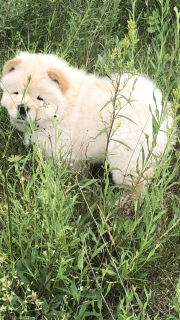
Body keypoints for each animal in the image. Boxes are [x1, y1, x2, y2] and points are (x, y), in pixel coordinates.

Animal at [0, 52, 174, 192]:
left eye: (40, 98)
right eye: (16, 93)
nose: (22, 107)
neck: (64, 108)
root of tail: (160, 112)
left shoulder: (69, 156)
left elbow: (73, 175)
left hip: (127, 158)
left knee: (135, 187)